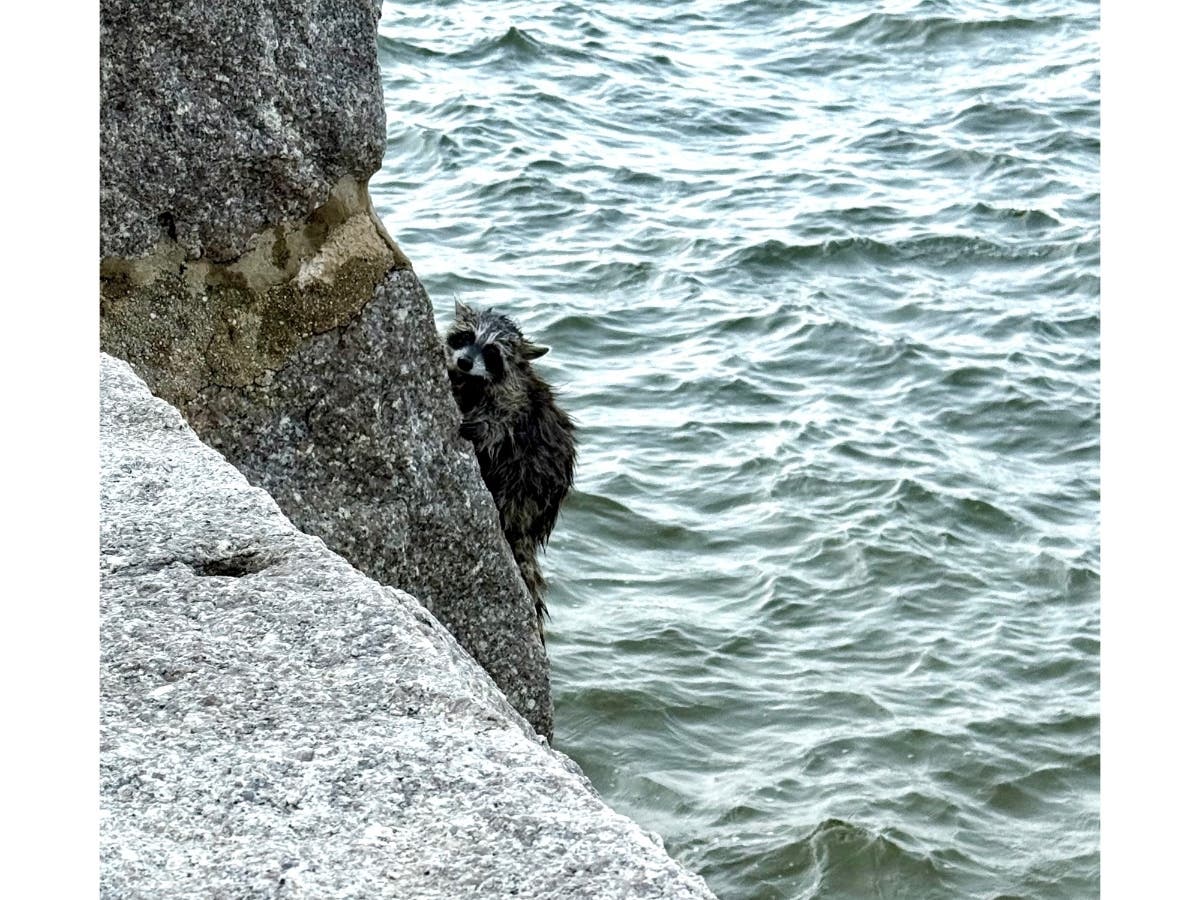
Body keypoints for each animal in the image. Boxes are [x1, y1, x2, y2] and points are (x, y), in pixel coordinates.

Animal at [444, 300, 576, 639]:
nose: (464, 361)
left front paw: (483, 426)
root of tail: (528, 524)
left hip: (528, 481)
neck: (473, 381)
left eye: (491, 352)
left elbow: (503, 421)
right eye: (465, 336)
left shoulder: (516, 397)